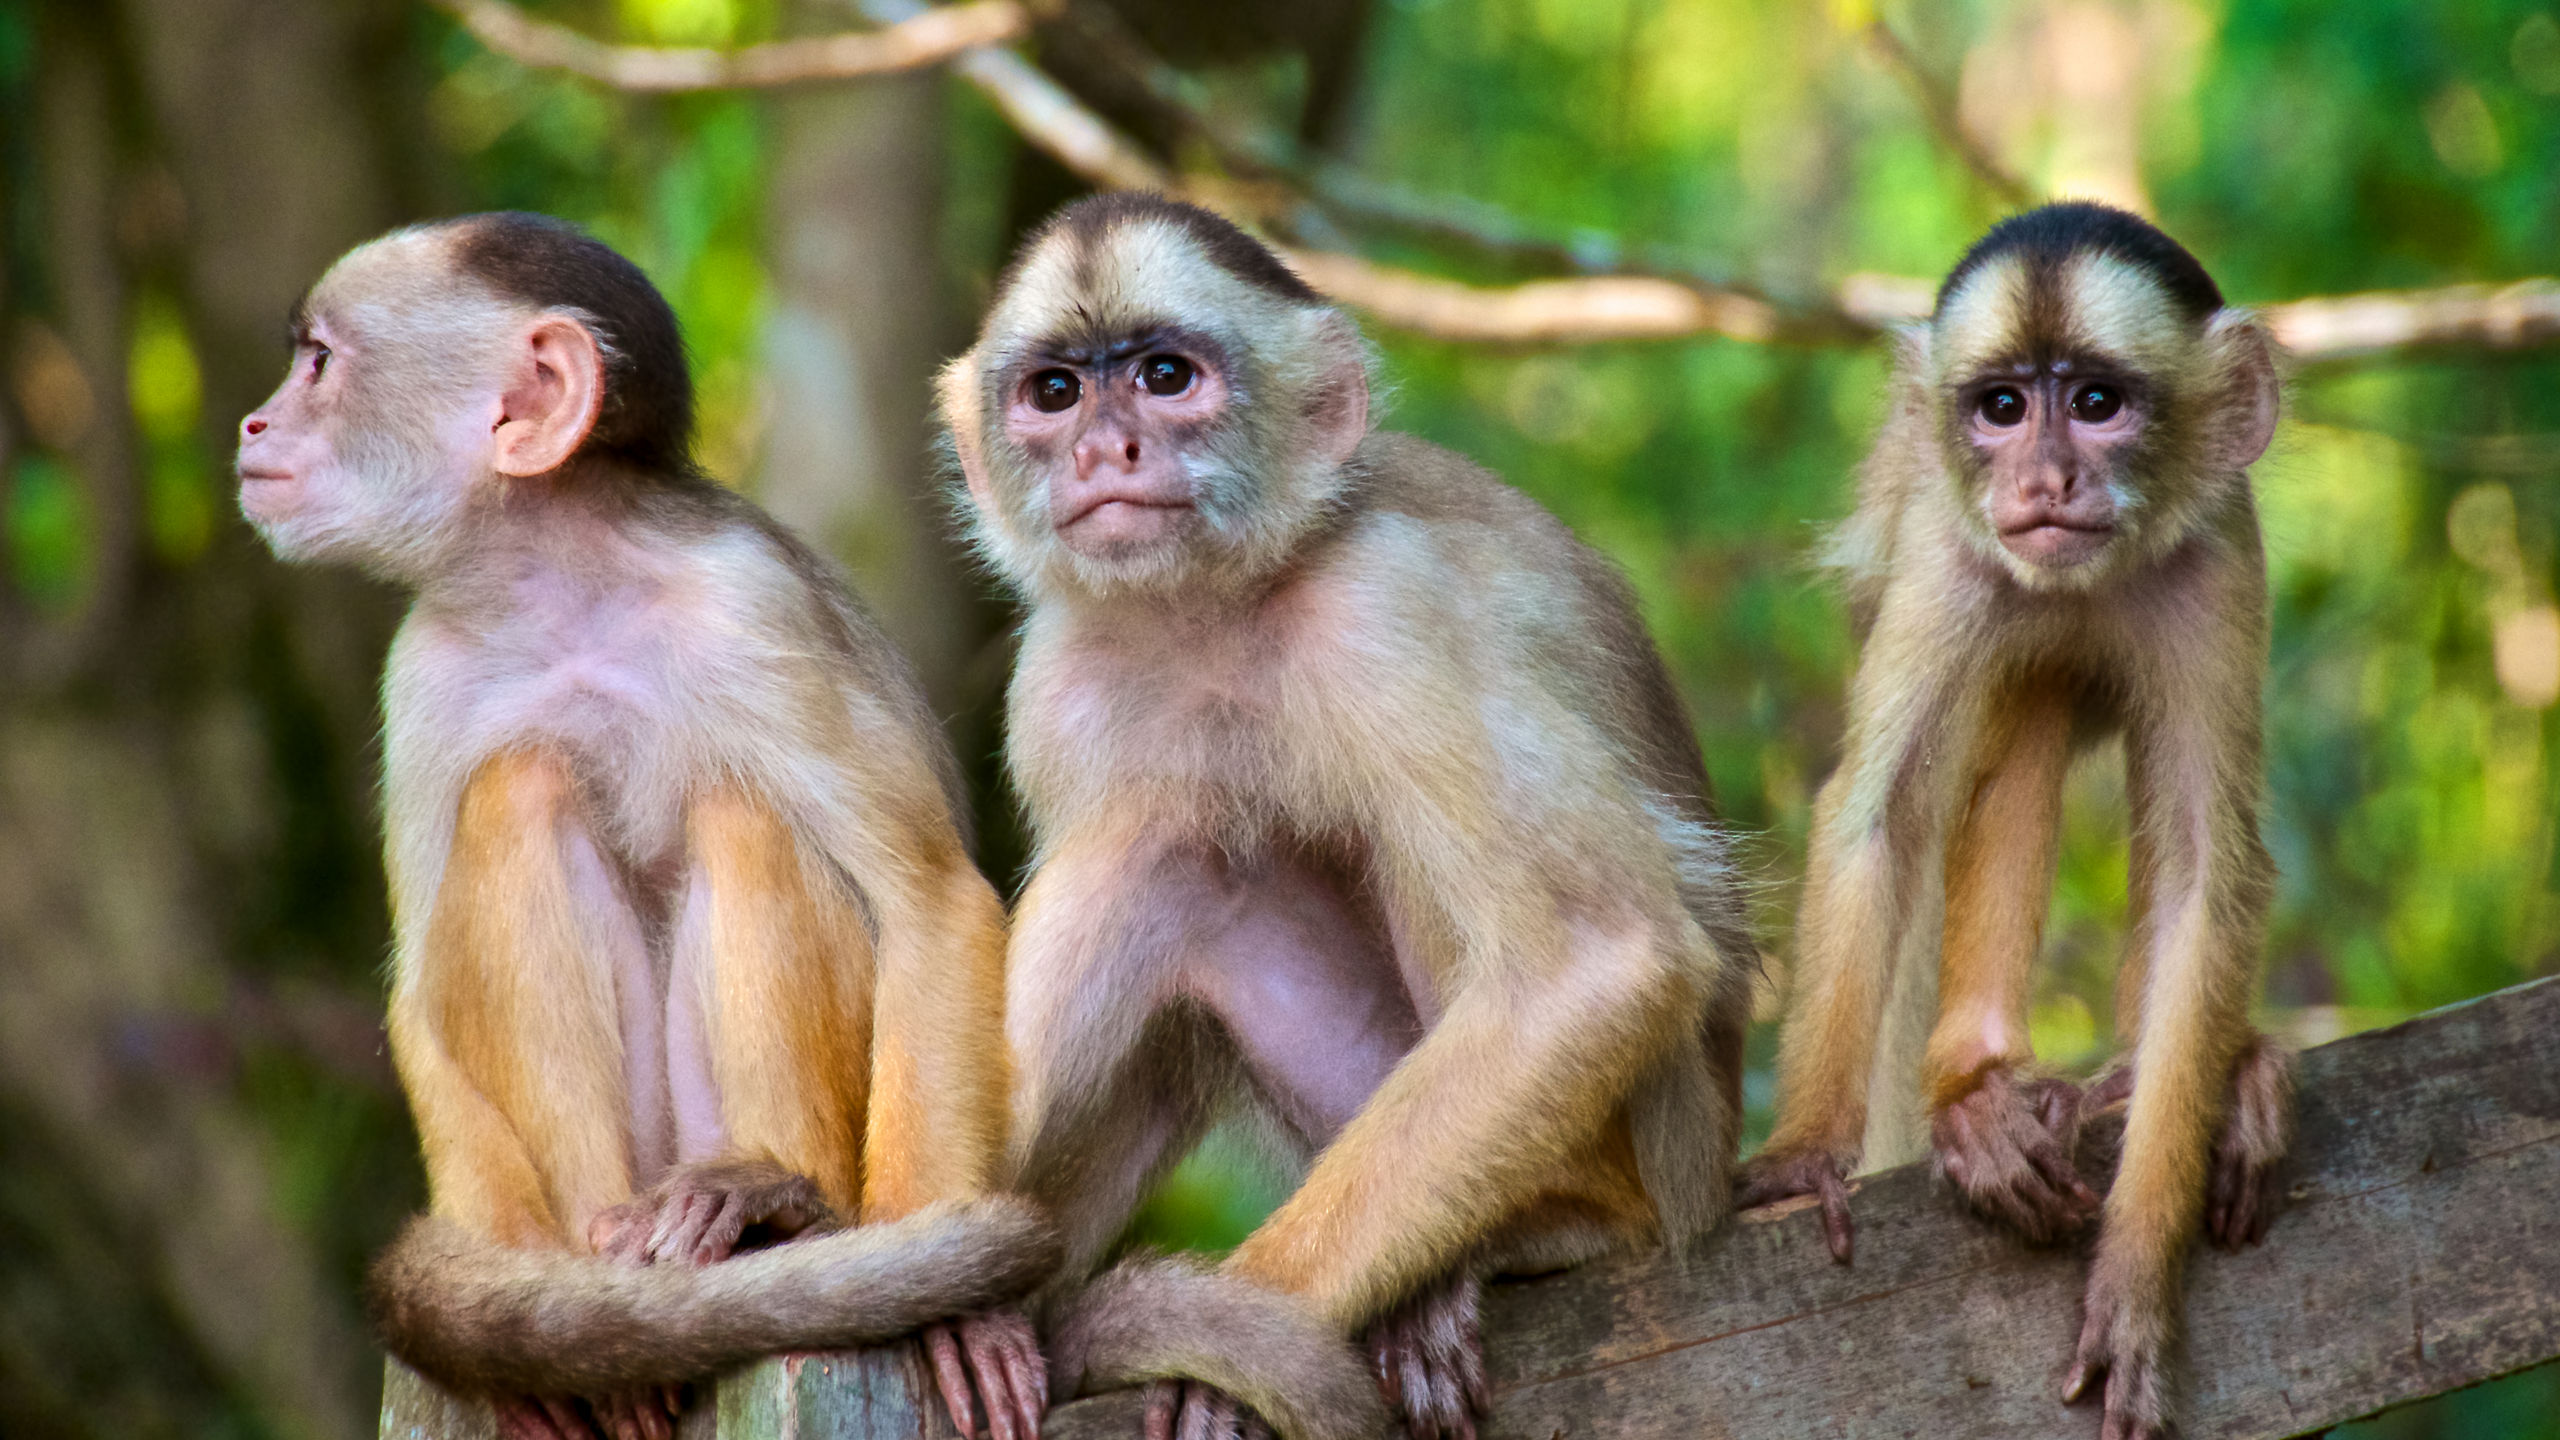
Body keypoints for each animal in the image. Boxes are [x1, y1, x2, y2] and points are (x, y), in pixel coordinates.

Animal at [230, 212, 1049, 1434]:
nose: (256, 421)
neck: (569, 589)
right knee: (519, 788)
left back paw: (779, 1211)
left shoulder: (749, 604)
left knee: (742, 811)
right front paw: (517, 1346)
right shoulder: (426, 665)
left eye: (317, 362)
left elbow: (932, 905)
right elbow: (418, 997)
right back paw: (600, 1283)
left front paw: (959, 1314)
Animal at [942, 196, 1761, 1434]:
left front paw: (1237, 1333)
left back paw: (1541, 1230)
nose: (1101, 450)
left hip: (1663, 1158)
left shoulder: (1385, 608)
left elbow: (1598, 957)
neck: (1214, 611)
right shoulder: (1056, 683)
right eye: (1055, 391)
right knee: (1164, 843)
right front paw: (980, 1304)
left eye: (1165, 376)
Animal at [1740, 202, 2304, 1434]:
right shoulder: (1947, 555)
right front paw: (1804, 1155)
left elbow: (2207, 868)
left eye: (2094, 402)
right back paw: (1978, 1088)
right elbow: (1876, 816)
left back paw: (2179, 1075)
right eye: (2001, 408)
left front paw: (2137, 1269)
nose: (2043, 479)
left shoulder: (2220, 556)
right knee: (2023, 712)